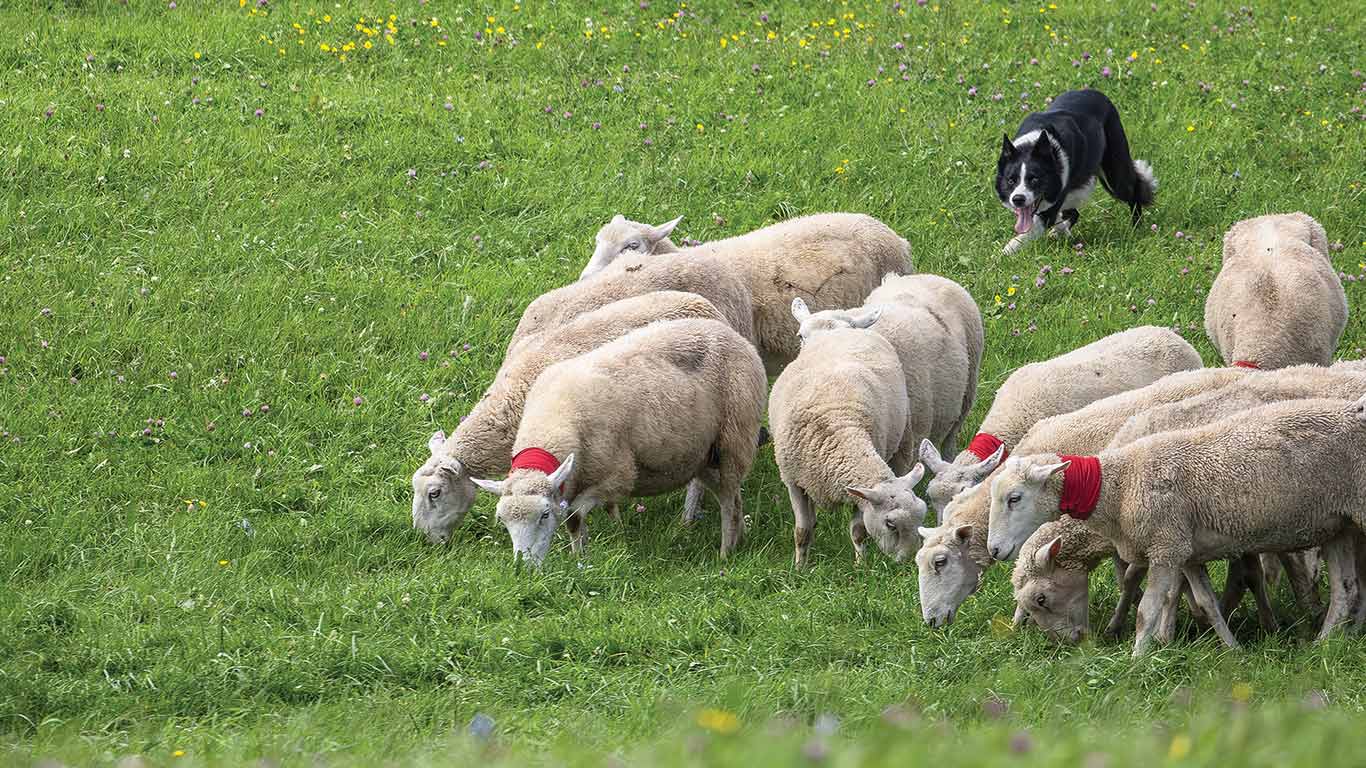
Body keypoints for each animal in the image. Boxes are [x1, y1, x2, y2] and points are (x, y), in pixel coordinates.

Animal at [411, 292, 730, 545]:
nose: (426, 540)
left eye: (435, 493)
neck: (509, 404)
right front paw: (615, 524)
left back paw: (688, 517)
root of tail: (706, 306)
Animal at [468, 318, 767, 567]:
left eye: (544, 515)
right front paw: (580, 558)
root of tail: (735, 337)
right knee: (733, 497)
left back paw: (726, 553)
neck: (553, 421)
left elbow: (574, 514)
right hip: (703, 454)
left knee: (729, 502)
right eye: (503, 520)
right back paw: (740, 539)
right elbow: (574, 524)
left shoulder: (618, 476)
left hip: (734, 440)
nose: (524, 568)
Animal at [770, 318, 928, 568]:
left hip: (902, 438)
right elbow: (802, 531)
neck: (839, 432)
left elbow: (858, 531)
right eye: (891, 524)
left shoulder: (860, 495)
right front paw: (799, 568)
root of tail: (841, 327)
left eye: (923, 514)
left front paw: (861, 566)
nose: (910, 563)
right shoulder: (793, 482)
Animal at [985, 396, 1366, 656]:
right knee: (1346, 588)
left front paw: (1138, 659)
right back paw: (1326, 644)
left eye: (1014, 498)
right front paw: (1232, 649)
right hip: (1338, 524)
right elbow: (1206, 602)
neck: (1120, 484)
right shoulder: (1187, 552)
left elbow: (1148, 611)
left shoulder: (1166, 548)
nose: (994, 549)